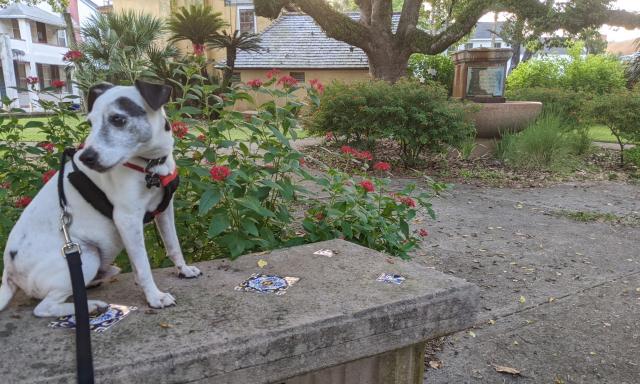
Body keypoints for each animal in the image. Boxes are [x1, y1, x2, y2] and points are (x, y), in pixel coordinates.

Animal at [0, 79, 201, 316]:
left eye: (118, 119)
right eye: (90, 123)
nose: (87, 158)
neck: (151, 166)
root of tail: (8, 271)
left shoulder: (165, 210)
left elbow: (173, 246)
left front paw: (183, 269)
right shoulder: (127, 219)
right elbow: (143, 265)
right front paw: (154, 296)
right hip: (86, 255)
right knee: (43, 308)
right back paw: (91, 306)